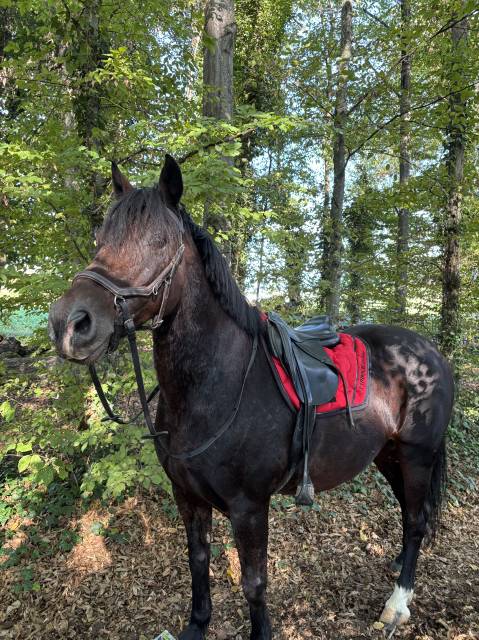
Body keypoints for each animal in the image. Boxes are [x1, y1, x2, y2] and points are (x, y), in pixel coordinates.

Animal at [48, 155, 454, 640]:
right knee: (413, 516)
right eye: (101, 239)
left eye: (161, 242)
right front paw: (197, 625)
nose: (70, 324)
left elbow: (254, 583)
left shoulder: (249, 508)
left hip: (417, 455)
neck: (215, 386)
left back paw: (397, 602)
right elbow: (198, 561)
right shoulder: (187, 497)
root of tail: (430, 350)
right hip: (388, 455)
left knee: (415, 521)